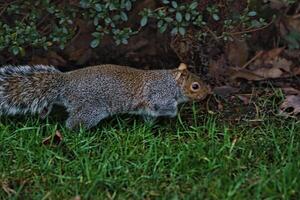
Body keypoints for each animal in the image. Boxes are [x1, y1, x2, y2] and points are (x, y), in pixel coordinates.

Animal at [0, 63, 211, 130]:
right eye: (195, 86)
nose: (208, 92)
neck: (170, 82)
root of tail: (65, 84)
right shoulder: (159, 96)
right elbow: (165, 107)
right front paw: (175, 113)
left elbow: (148, 116)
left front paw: (149, 127)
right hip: (91, 110)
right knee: (72, 123)